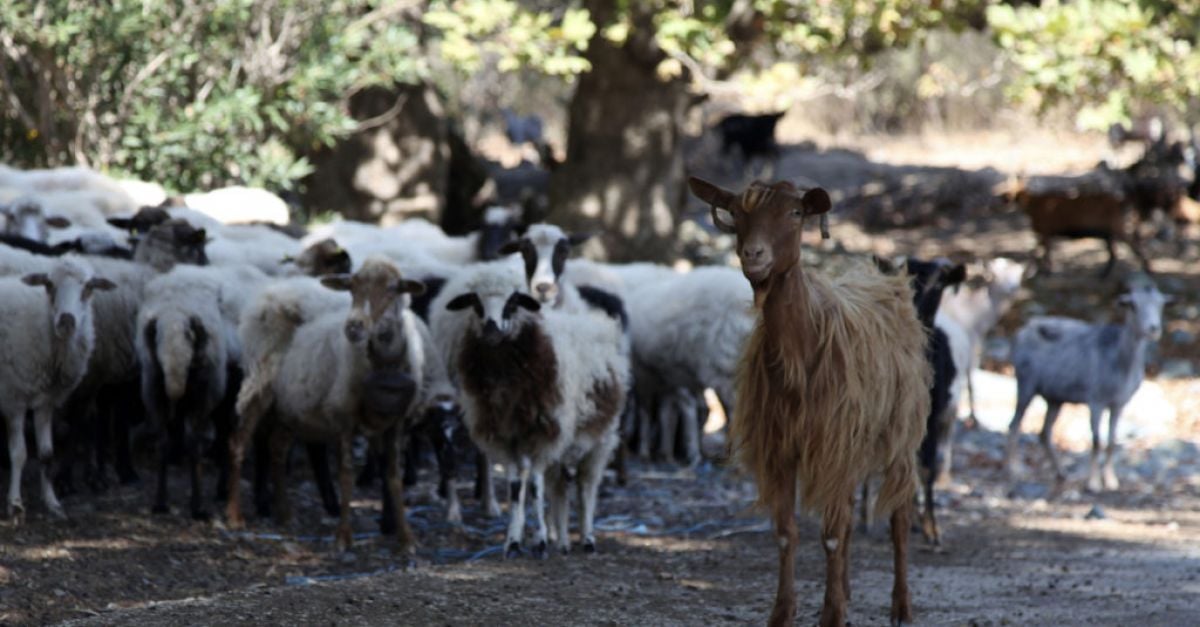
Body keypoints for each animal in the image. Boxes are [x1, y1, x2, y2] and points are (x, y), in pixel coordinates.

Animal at [691, 175, 931, 624]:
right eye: (736, 212)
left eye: (796, 212)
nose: (753, 254)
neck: (800, 348)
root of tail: (887, 281)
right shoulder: (782, 447)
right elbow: (788, 533)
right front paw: (785, 612)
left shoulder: (832, 442)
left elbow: (832, 535)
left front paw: (832, 614)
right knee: (851, 514)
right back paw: (849, 591)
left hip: (900, 432)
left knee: (900, 516)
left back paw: (901, 606)